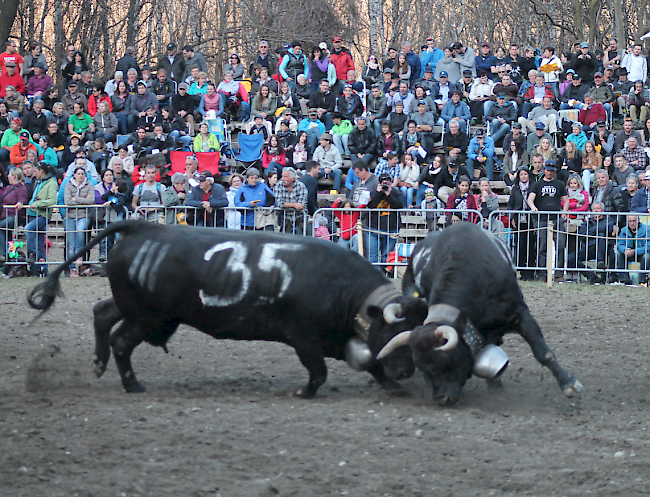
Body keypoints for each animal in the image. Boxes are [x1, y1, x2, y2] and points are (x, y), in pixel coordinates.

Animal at [27, 219, 416, 398]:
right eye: (394, 330)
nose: (406, 373)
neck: (340, 285)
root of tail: (144, 227)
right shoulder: (304, 337)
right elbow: (318, 371)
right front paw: (304, 392)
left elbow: (372, 361)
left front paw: (392, 387)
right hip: (151, 318)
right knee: (121, 341)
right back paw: (133, 384)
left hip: (135, 308)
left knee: (102, 313)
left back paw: (99, 363)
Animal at [374, 223, 584, 404]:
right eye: (422, 366)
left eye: (449, 359)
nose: (443, 398)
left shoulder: (519, 314)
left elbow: (544, 353)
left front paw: (569, 384)